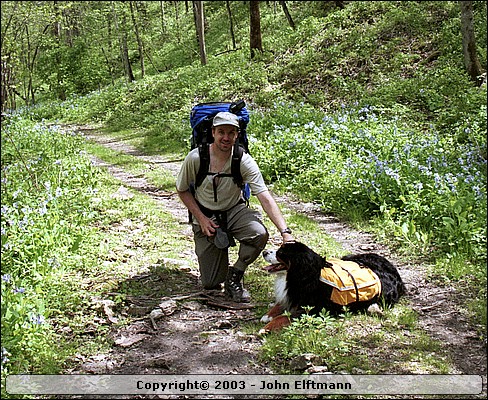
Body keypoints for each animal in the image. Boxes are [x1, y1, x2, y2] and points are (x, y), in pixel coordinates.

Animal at [262, 241, 406, 332]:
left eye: (280, 252)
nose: (264, 252)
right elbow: (280, 304)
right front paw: (268, 315)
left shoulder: (316, 309)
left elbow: (285, 317)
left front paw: (267, 327)